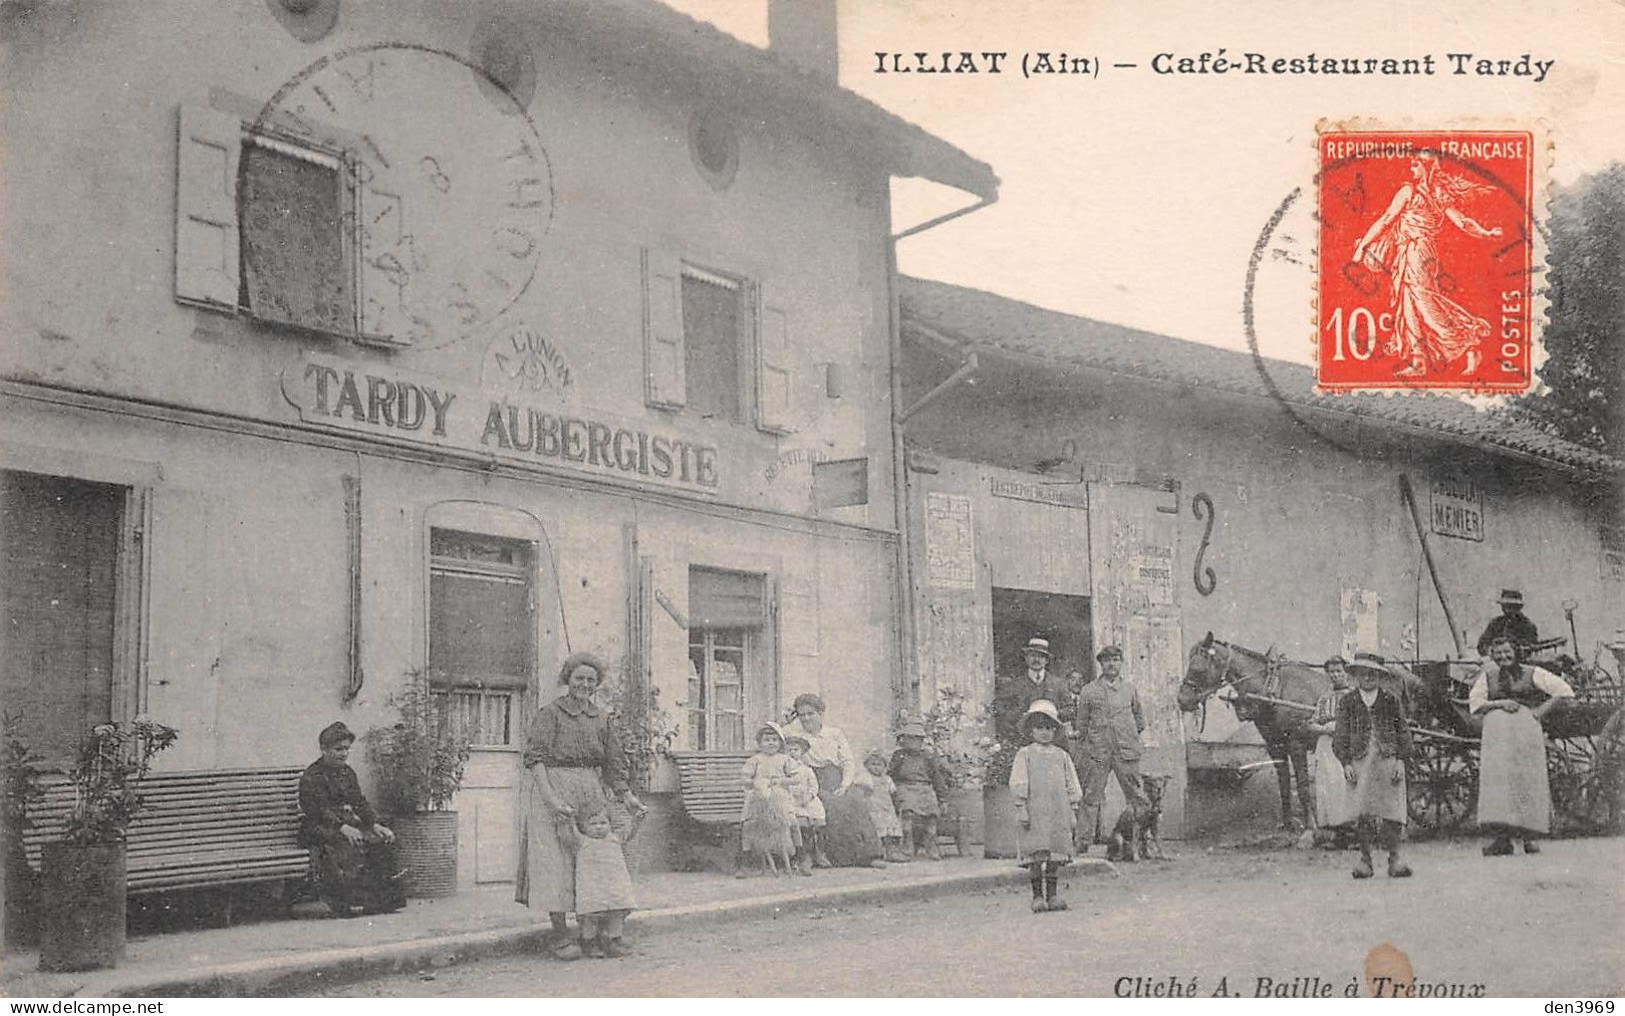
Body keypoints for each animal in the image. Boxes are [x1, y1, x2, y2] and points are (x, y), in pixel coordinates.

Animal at [1183, 633, 1332, 832]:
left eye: (1197, 667)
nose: (1181, 699)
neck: (1274, 688)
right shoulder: (1275, 746)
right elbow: (1284, 784)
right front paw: (1288, 824)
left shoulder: (1296, 744)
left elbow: (1302, 785)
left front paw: (1310, 826)